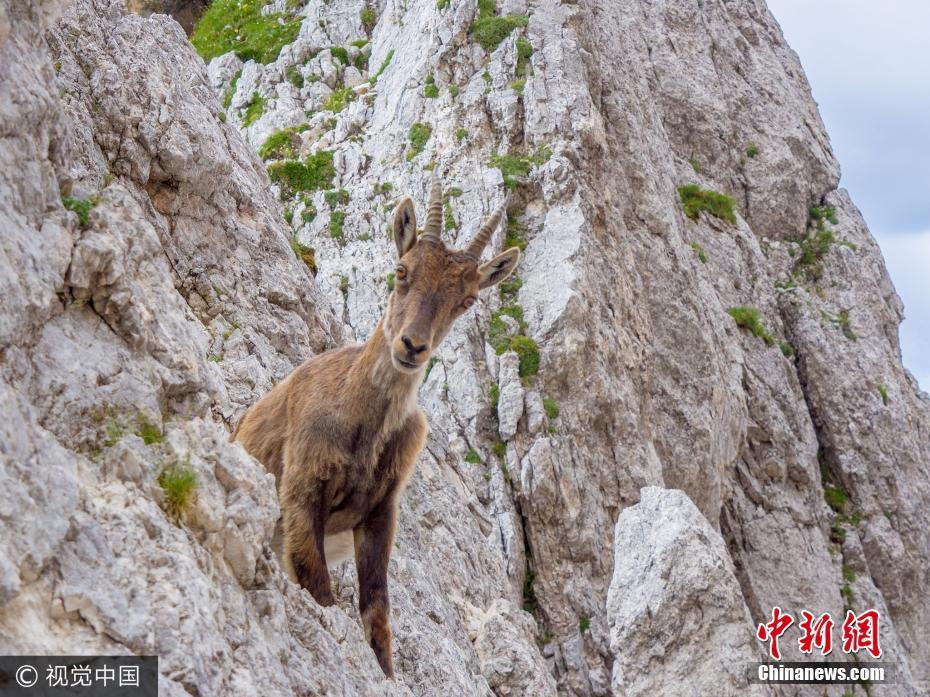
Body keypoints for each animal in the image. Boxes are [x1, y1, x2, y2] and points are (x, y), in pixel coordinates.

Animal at [232, 182, 520, 676]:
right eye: (402, 270)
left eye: (467, 301)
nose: (413, 346)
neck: (362, 420)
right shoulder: (303, 490)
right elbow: (319, 587)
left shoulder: (381, 510)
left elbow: (378, 613)